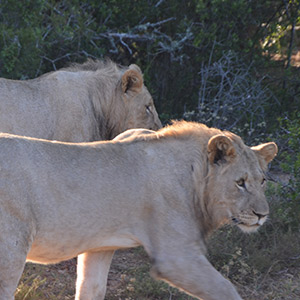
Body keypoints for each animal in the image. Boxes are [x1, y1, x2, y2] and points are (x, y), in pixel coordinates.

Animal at [0, 120, 278, 298]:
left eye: (262, 181)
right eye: (240, 182)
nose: (262, 215)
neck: (195, 176)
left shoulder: (100, 245)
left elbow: (91, 288)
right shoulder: (176, 256)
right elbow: (225, 289)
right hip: (11, 251)